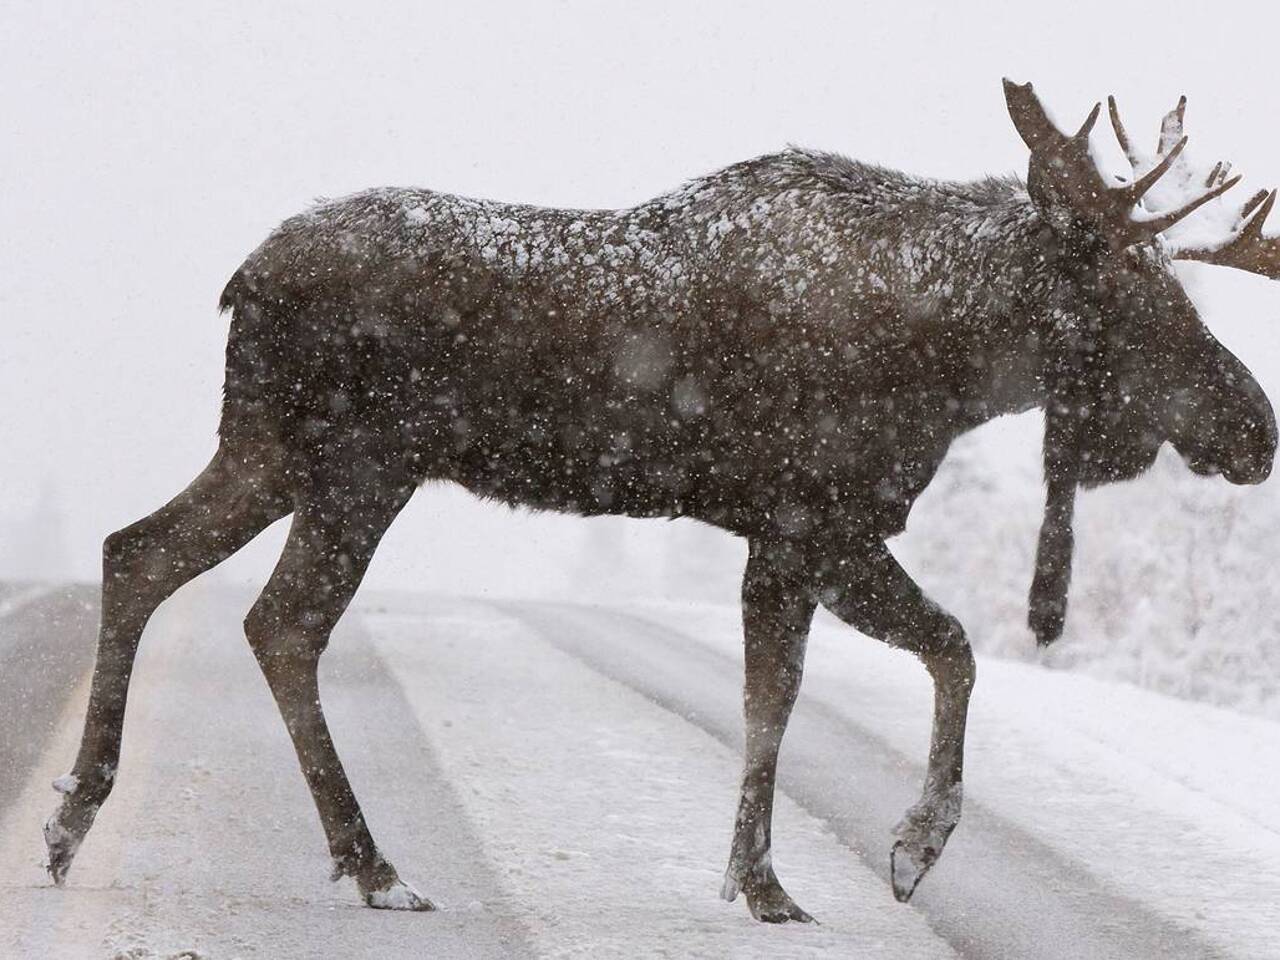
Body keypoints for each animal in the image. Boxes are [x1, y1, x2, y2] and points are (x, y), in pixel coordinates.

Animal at [45, 82, 1274, 926]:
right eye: (1134, 296)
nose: (1255, 428)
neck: (951, 365)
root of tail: (240, 281)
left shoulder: (793, 535)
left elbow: (811, 685)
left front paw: (770, 875)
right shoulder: (813, 520)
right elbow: (920, 660)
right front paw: (884, 854)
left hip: (273, 450)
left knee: (140, 554)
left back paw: (77, 819)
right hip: (356, 466)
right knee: (282, 619)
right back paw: (372, 865)